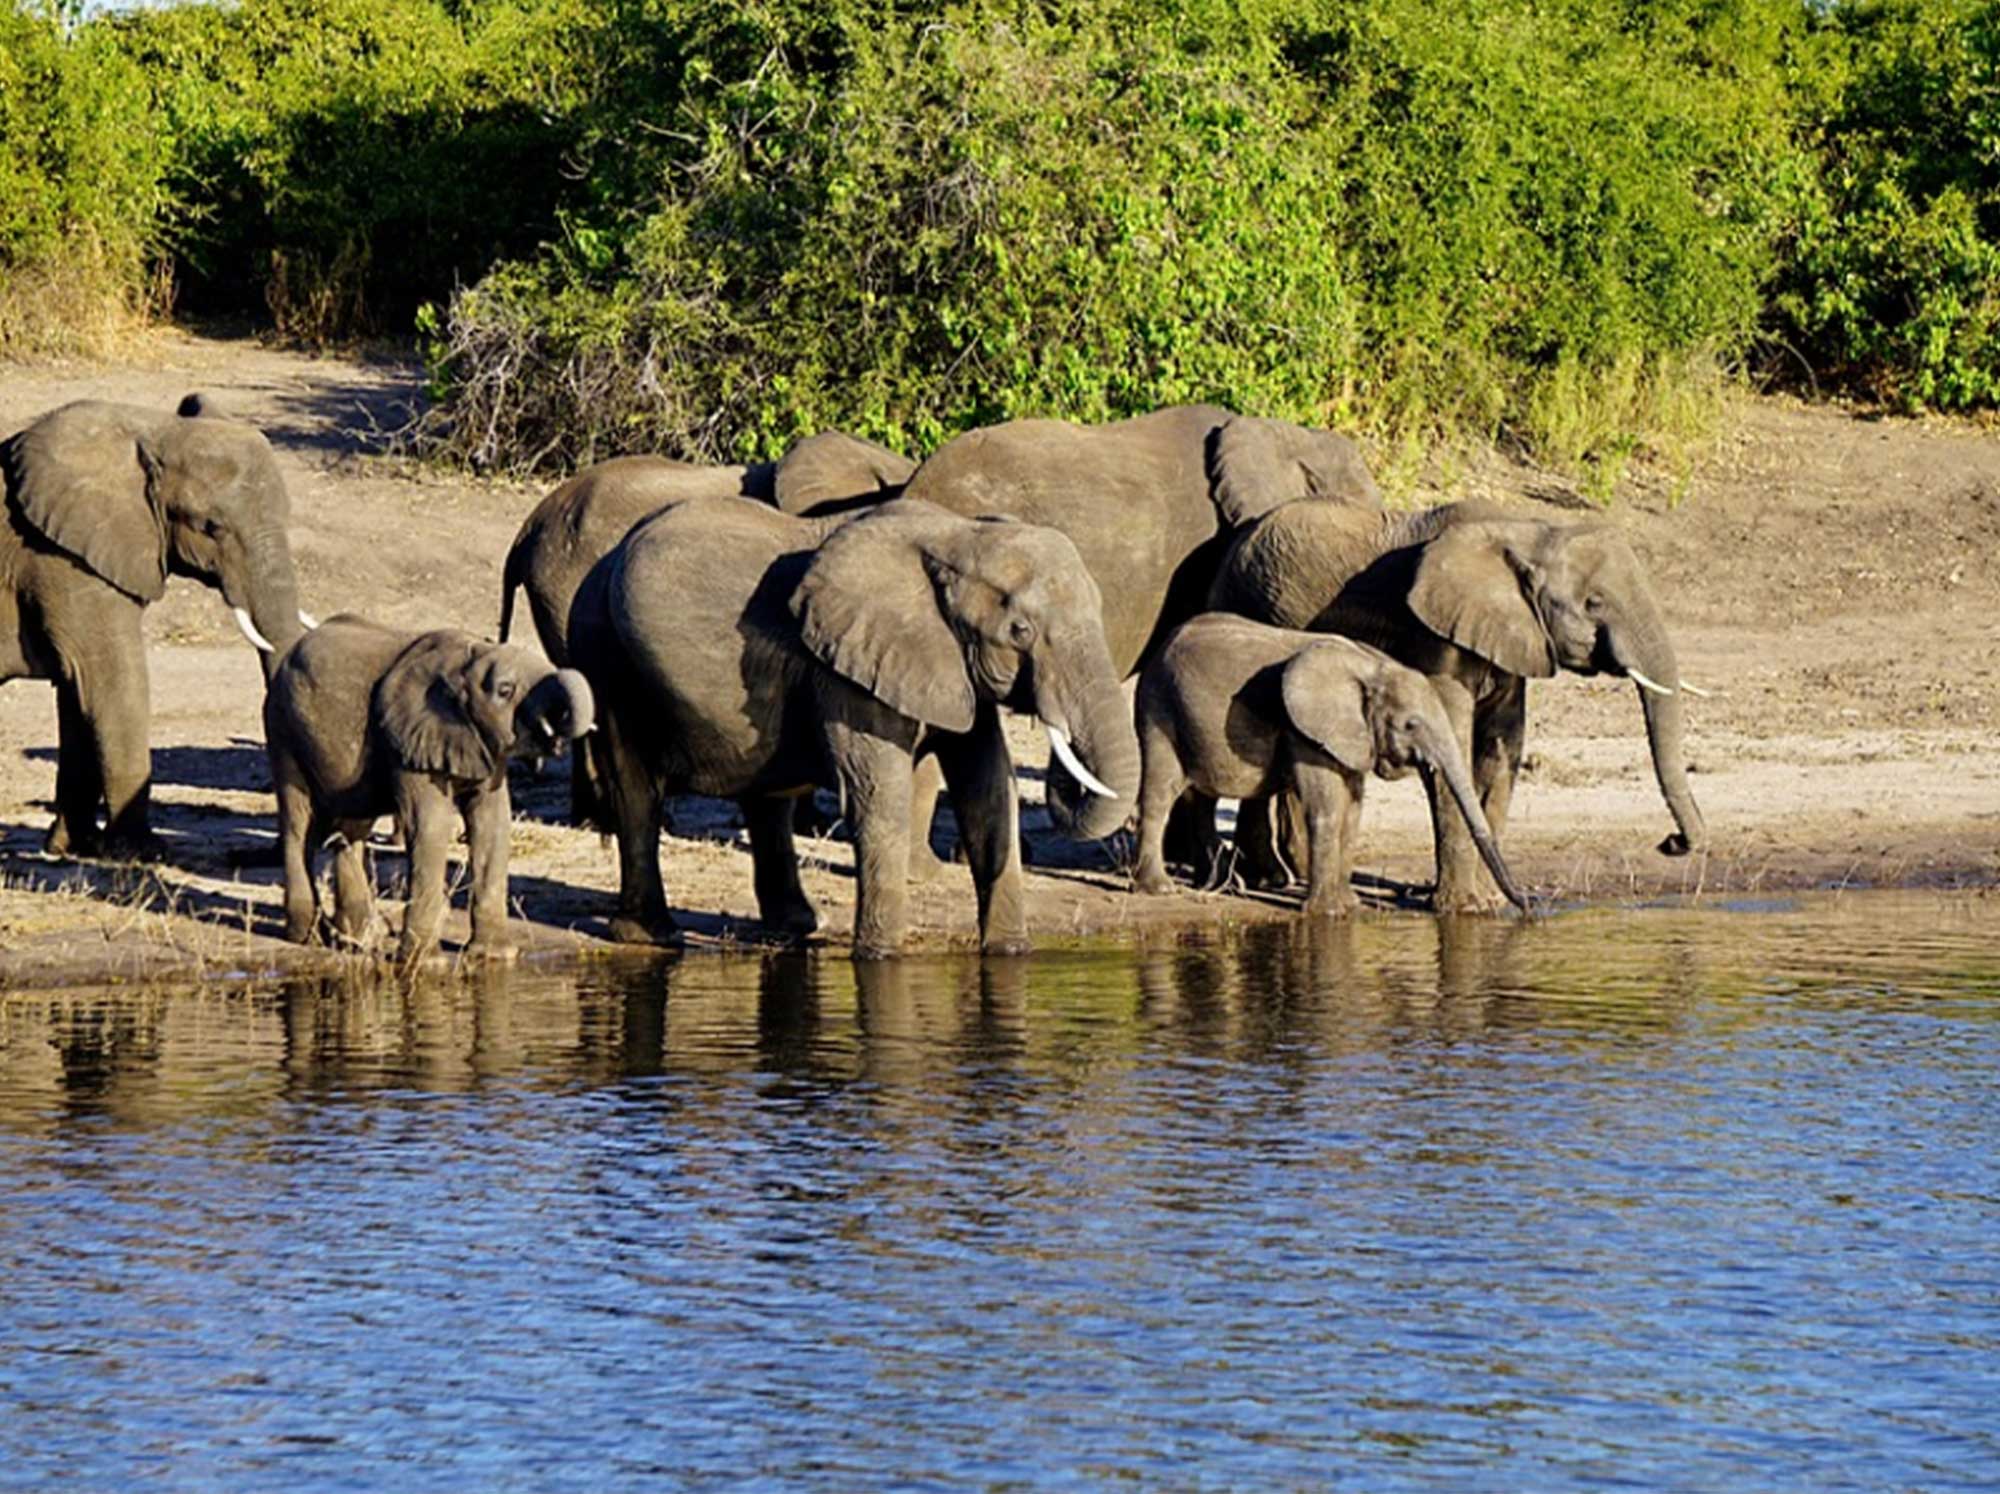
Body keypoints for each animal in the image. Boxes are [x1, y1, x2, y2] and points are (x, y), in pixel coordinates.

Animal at [0, 398, 308, 860]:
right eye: (210, 527)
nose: (243, 856)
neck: (151, 429)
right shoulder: (59, 560)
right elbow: (112, 681)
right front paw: (143, 853)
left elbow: (78, 692)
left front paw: (76, 847)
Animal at [266, 616, 592, 960]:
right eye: (505, 691)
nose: (553, 734)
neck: (469, 657)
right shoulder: (409, 738)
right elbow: (430, 824)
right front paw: (424, 963)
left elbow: (492, 824)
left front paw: (495, 957)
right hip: (282, 728)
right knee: (300, 824)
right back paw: (309, 937)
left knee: (350, 829)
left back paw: (359, 939)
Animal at [1144, 612, 1528, 916]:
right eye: (1410, 725)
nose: (1528, 904)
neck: (1372, 668)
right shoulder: (1305, 729)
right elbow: (1327, 805)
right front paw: (1329, 913)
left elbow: (1352, 807)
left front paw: (1349, 908)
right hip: (1158, 706)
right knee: (1160, 793)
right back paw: (1160, 889)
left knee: (1201, 799)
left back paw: (1221, 885)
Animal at [1208, 500, 1712, 912]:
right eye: (1594, 602)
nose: (1671, 843)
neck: (1530, 533)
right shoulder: (1435, 638)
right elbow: (1454, 750)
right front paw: (1463, 908)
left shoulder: (1512, 638)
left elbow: (1500, 753)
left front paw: (1489, 903)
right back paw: (1266, 879)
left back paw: (1271, 877)